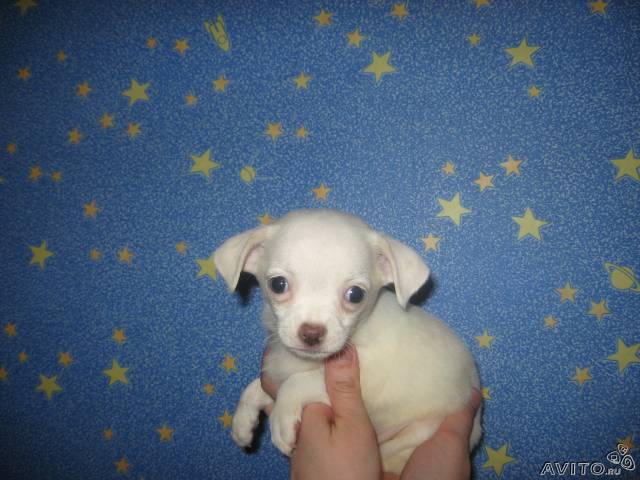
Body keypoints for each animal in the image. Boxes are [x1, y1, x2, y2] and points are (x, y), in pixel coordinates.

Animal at [214, 209, 481, 474]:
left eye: (356, 295)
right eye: (278, 284)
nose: (311, 333)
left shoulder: (368, 378)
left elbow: (298, 382)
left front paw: (282, 418)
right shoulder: (279, 370)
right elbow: (256, 388)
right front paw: (242, 421)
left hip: (417, 432)